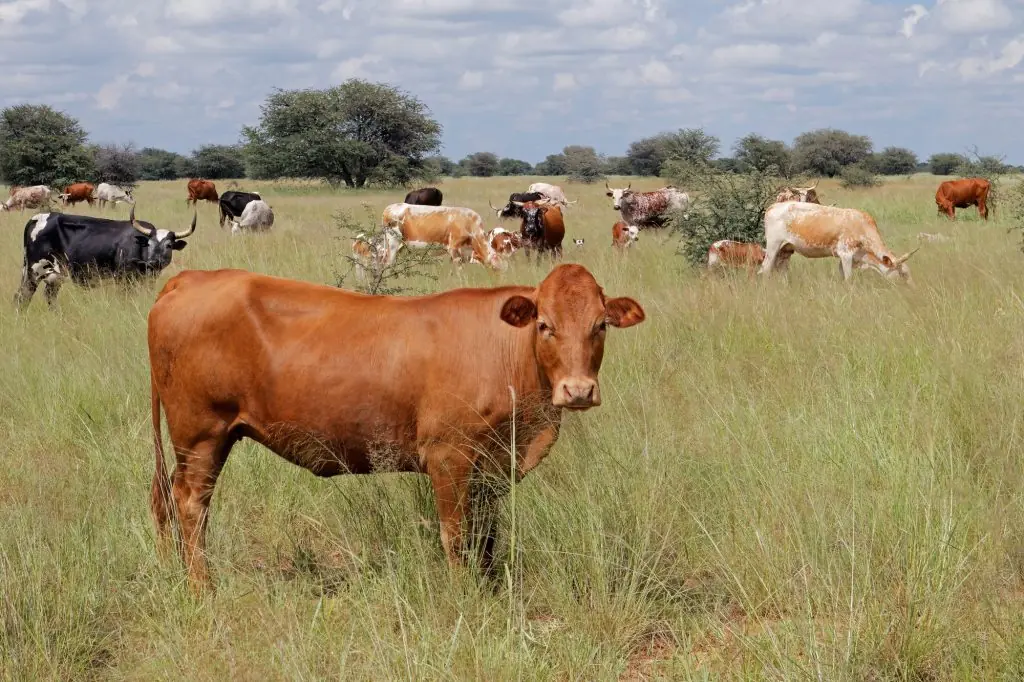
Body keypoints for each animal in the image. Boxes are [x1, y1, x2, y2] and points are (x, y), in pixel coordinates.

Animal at [14, 206, 197, 309]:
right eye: (149, 243)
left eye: (169, 245)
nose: (153, 262)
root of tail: (38, 217)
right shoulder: (124, 281)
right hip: (34, 270)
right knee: (22, 297)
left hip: (55, 275)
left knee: (49, 297)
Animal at [146, 263, 646, 590]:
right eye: (544, 325)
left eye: (601, 325)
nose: (577, 391)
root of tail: (192, 277)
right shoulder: (449, 455)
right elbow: (456, 535)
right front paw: (464, 596)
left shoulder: (493, 466)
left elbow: (487, 534)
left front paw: (488, 590)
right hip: (202, 435)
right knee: (191, 504)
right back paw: (202, 586)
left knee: (168, 498)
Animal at [758, 202, 920, 282]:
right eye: (903, 274)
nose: (912, 289)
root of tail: (772, 206)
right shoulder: (846, 254)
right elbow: (848, 279)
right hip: (773, 246)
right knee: (765, 269)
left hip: (785, 249)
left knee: (780, 269)